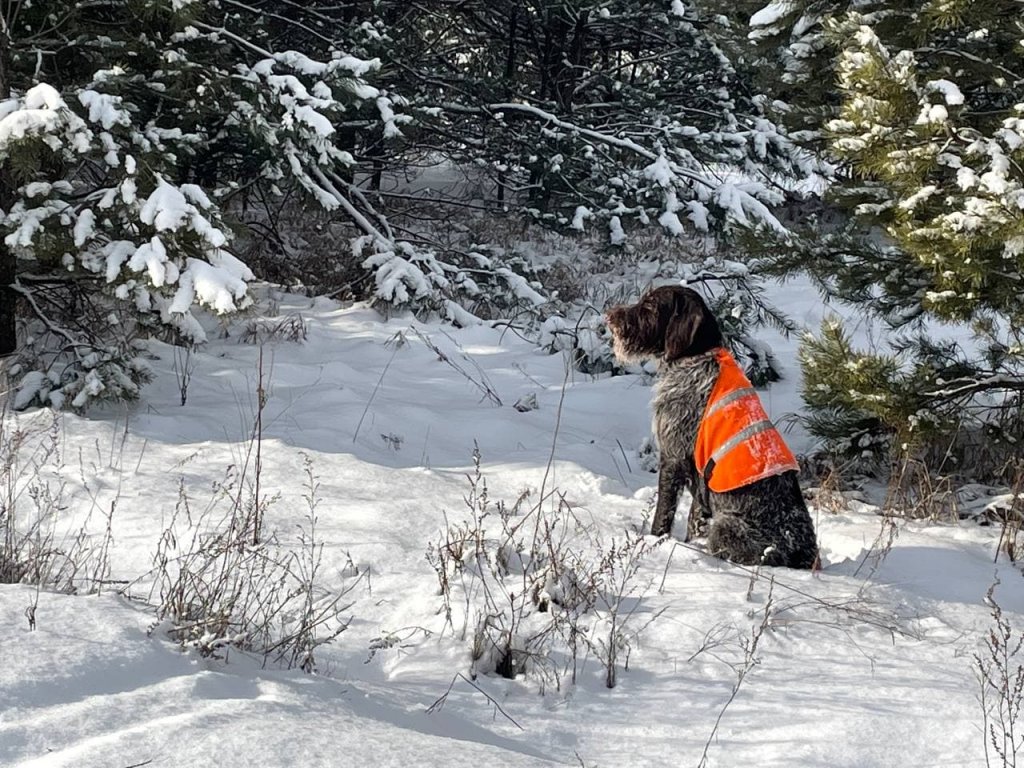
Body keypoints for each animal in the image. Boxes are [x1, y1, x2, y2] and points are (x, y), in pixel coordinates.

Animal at [606, 286, 815, 569]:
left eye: (650, 306)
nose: (609, 316)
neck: (695, 356)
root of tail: (801, 556)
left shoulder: (673, 457)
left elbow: (663, 513)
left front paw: (654, 540)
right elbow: (695, 518)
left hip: (726, 528)